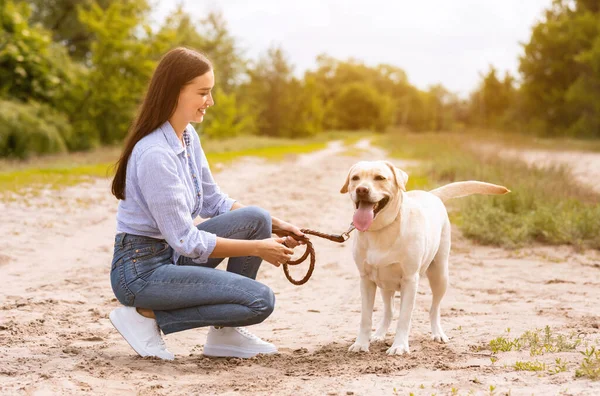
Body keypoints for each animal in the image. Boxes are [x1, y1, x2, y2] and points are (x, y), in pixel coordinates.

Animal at [340, 161, 508, 356]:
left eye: (380, 178)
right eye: (355, 178)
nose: (361, 190)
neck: (382, 229)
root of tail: (431, 194)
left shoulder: (410, 280)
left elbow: (404, 318)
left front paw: (399, 346)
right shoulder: (366, 280)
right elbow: (366, 318)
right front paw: (361, 344)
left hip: (440, 275)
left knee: (434, 309)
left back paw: (438, 333)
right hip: (385, 284)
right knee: (389, 311)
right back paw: (379, 334)